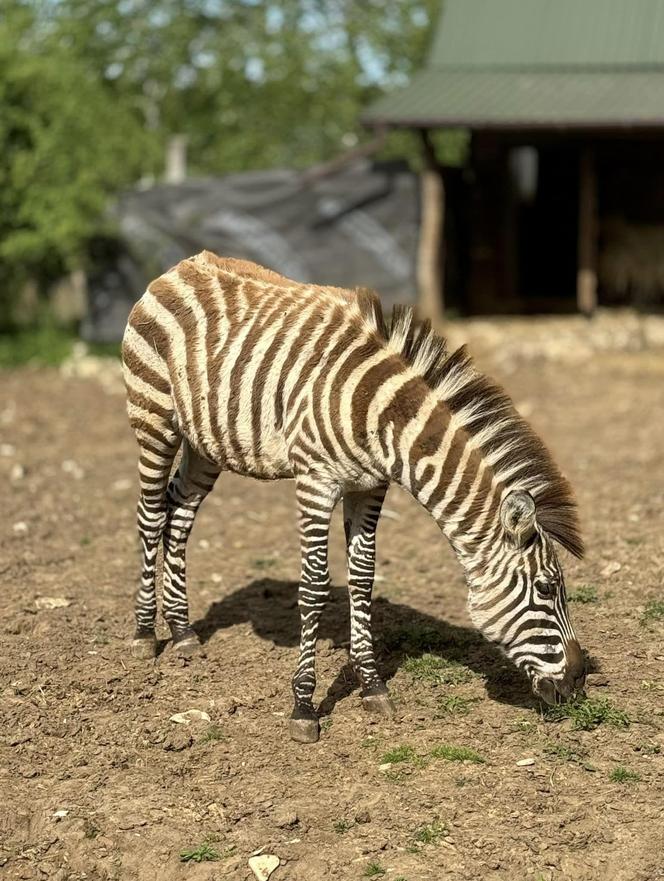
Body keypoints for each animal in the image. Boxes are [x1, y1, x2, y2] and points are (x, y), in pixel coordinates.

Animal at [123, 249, 588, 744]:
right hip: (154, 419)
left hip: (205, 442)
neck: (383, 418)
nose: (578, 682)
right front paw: (304, 707)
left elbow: (363, 578)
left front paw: (371, 685)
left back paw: (183, 631)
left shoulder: (370, 486)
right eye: (547, 588)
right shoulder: (315, 481)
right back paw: (144, 634)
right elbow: (313, 586)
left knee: (180, 513)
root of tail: (184, 264)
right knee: (151, 515)